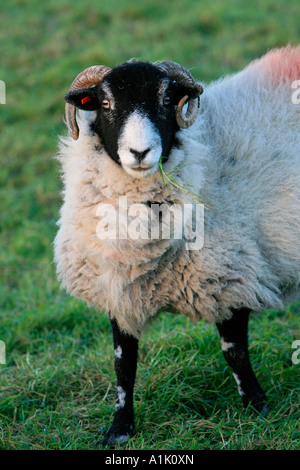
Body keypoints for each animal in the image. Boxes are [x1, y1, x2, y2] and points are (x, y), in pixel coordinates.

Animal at [54, 47, 300, 448]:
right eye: (104, 103)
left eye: (167, 100)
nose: (140, 152)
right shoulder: (117, 287)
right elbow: (123, 363)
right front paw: (120, 428)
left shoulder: (231, 276)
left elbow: (235, 352)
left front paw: (257, 406)